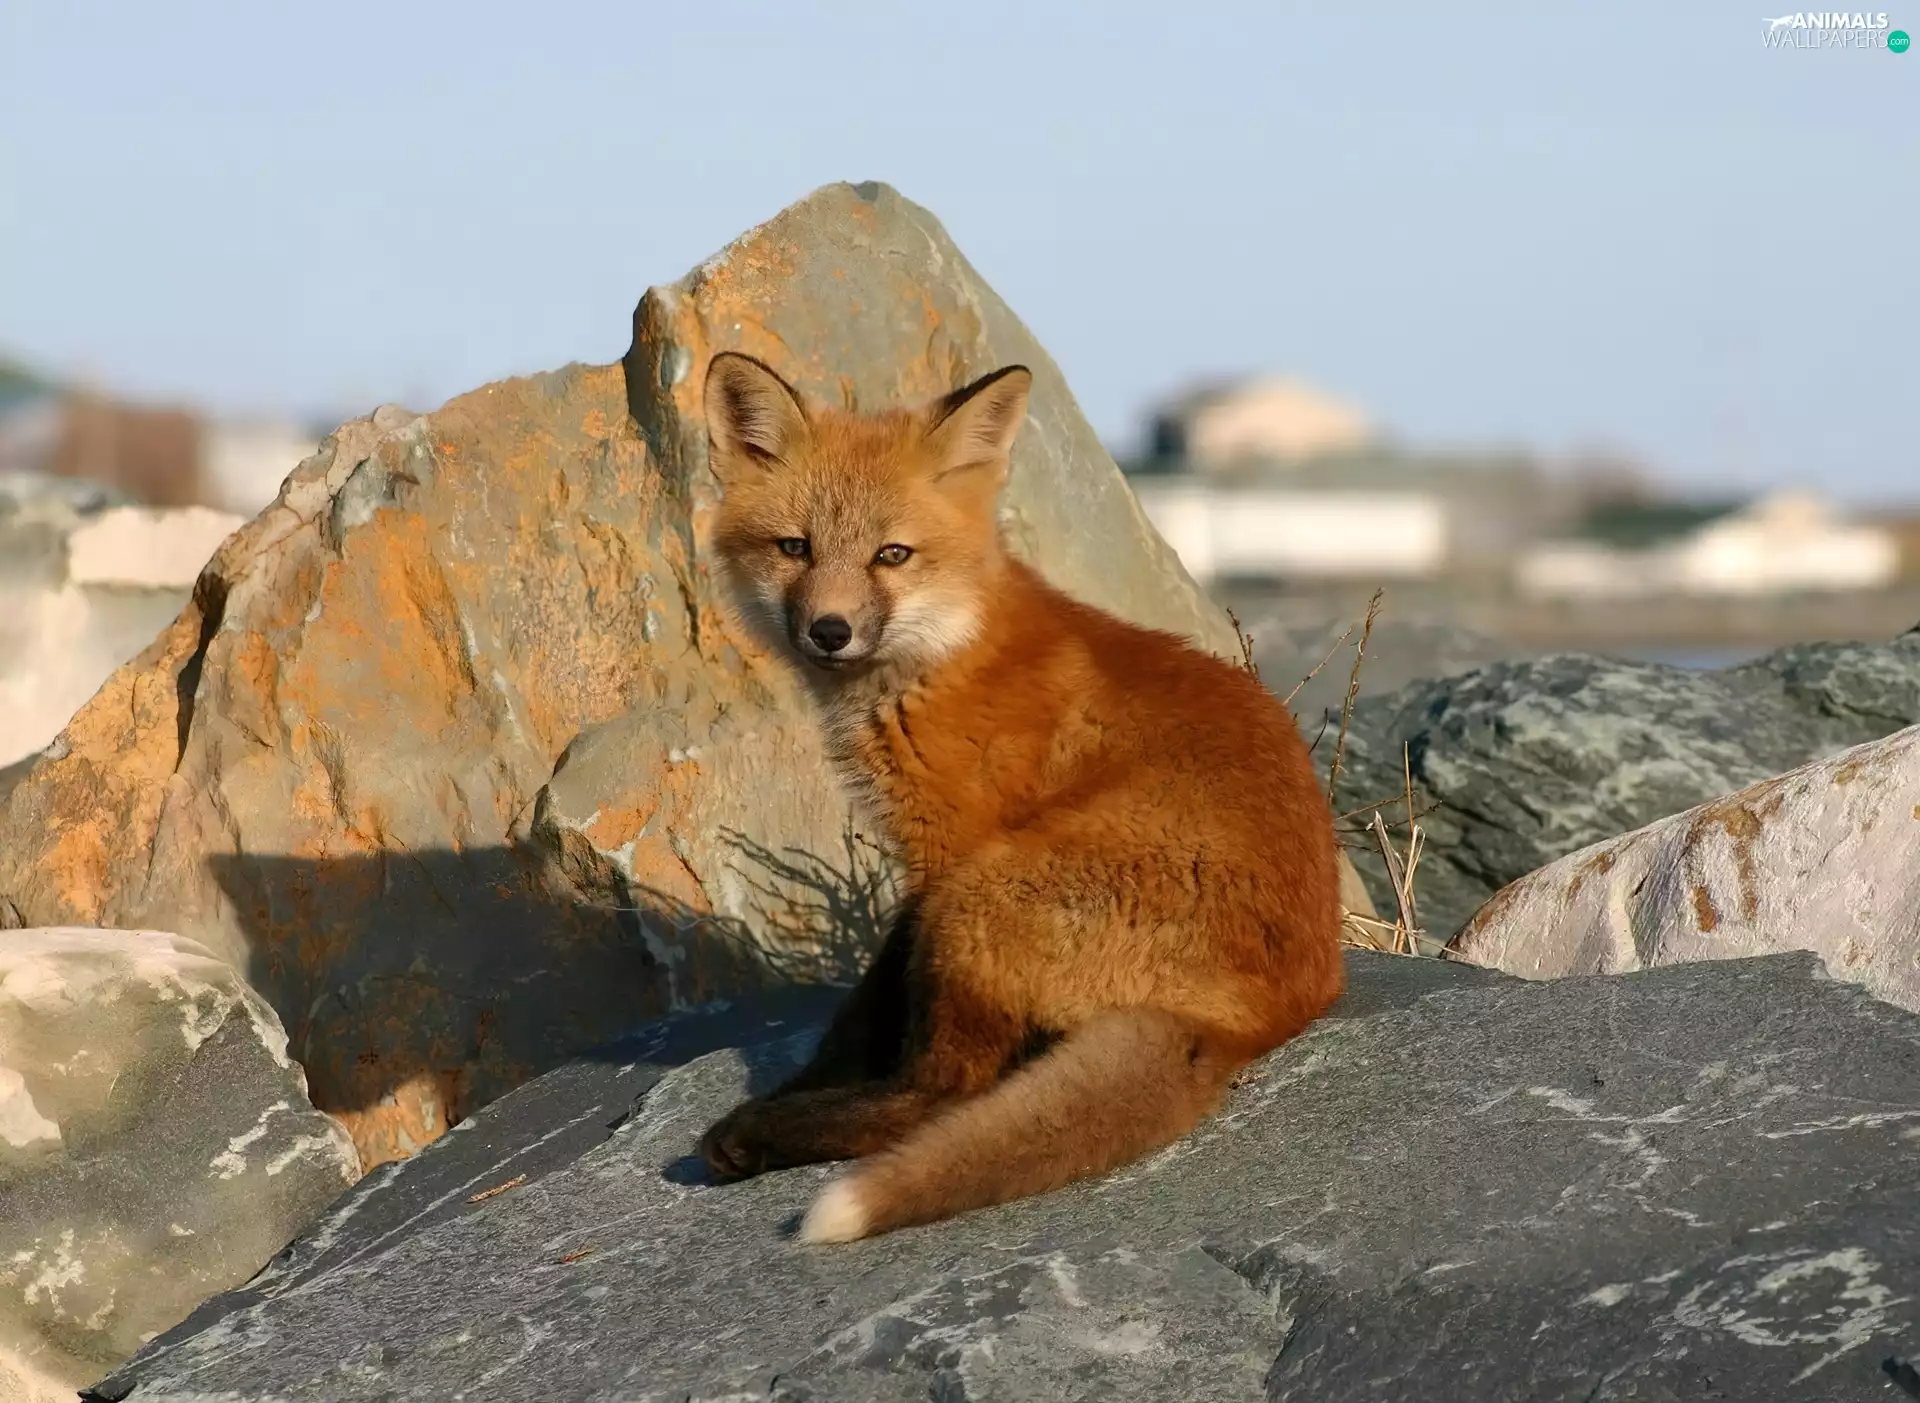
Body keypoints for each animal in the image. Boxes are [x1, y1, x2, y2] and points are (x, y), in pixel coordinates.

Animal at [694, 351, 1346, 1244]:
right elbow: (856, 1017)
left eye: (892, 554)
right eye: (795, 547)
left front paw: (786, 1098)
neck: (946, 652)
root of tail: (1255, 1021)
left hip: (976, 903)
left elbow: (869, 1006)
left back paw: (765, 1135)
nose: (829, 631)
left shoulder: (942, 858)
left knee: (944, 1093)